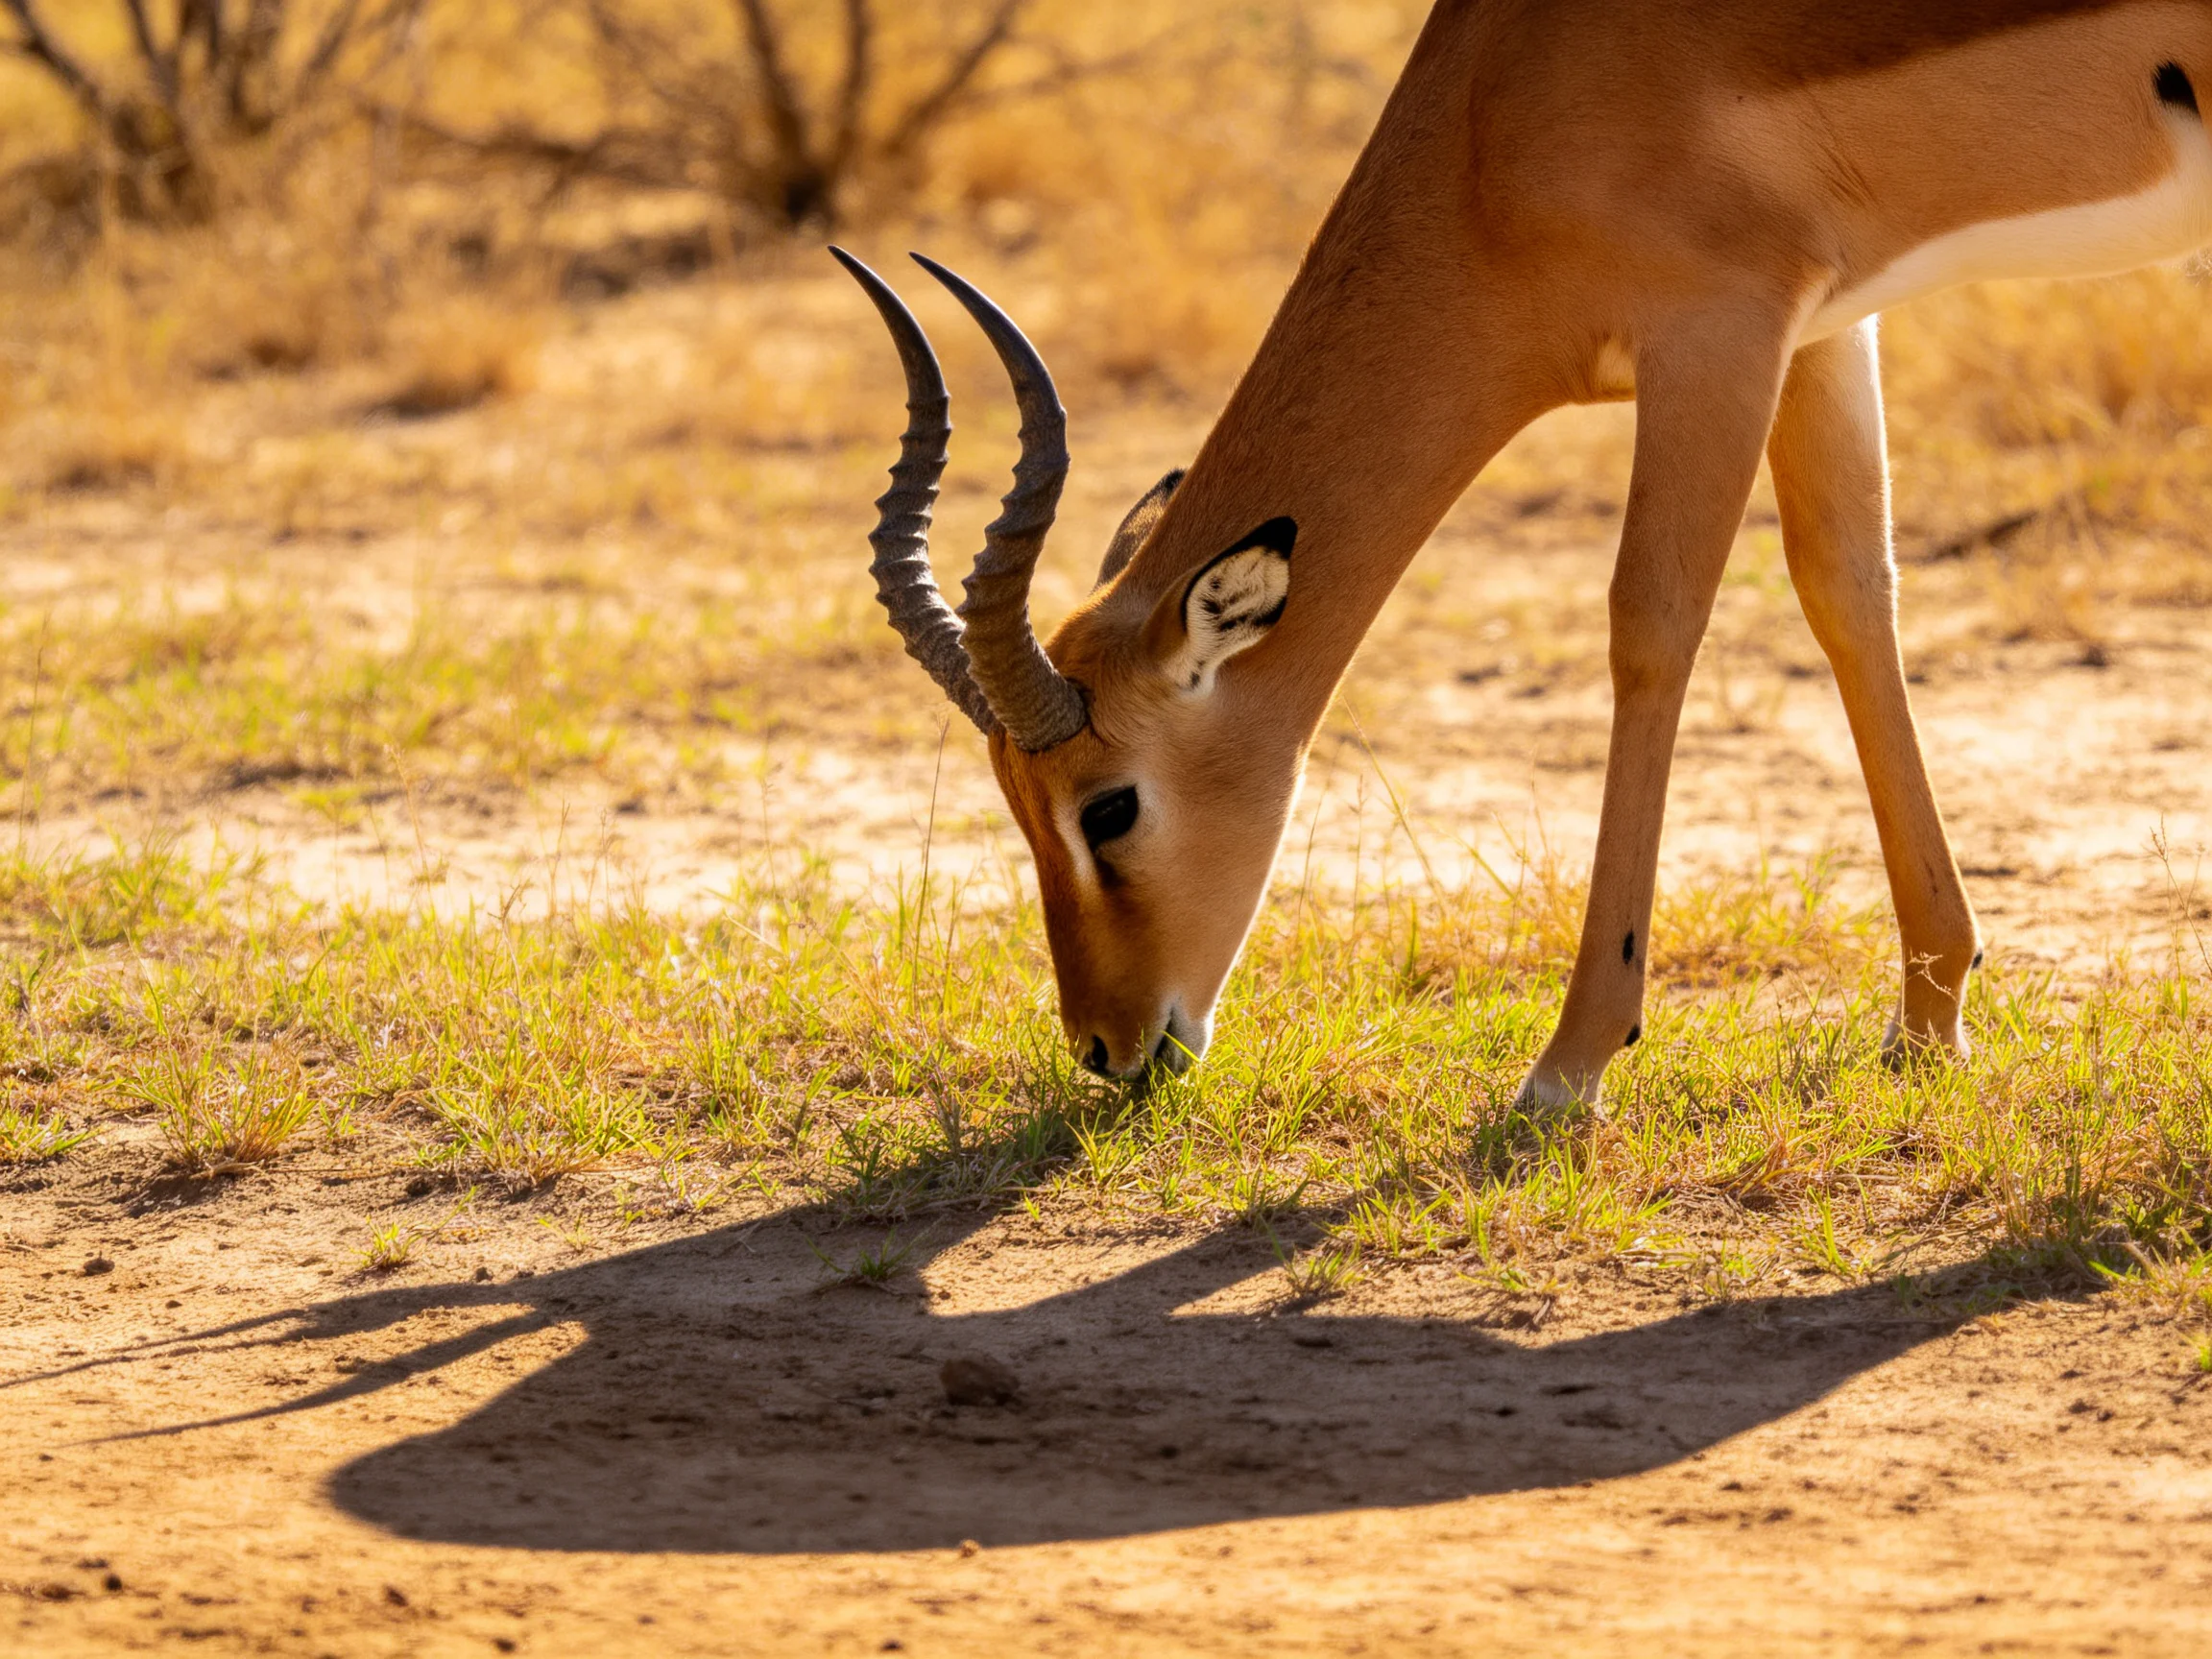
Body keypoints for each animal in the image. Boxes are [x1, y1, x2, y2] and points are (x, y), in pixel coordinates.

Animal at [834, 2, 2212, 1110]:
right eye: (1014, 804)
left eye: (1108, 805)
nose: (1109, 1049)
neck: (1496, 107)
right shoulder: (1828, 320)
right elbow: (1850, 593)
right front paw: (1929, 1026)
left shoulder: (1716, 327)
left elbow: (1651, 627)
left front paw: (1567, 1067)